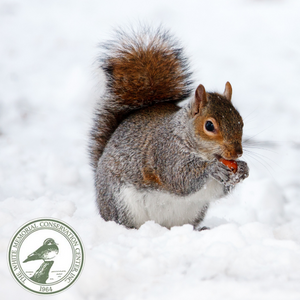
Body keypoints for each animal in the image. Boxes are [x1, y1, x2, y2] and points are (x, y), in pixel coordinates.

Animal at [88, 27, 248, 230]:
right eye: (209, 125)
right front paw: (213, 168)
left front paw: (243, 169)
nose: (237, 153)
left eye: (241, 121)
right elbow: (180, 178)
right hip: (120, 203)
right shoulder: (165, 153)